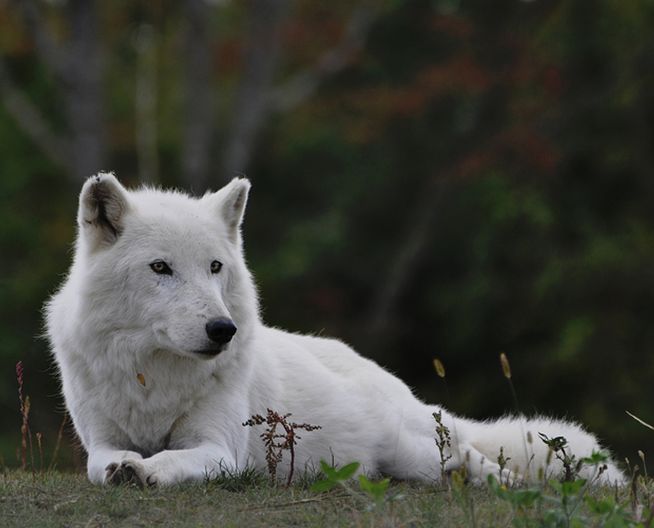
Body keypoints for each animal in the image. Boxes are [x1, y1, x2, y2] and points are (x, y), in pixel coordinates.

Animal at [45, 173, 624, 487]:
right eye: (161, 268)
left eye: (214, 268)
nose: (222, 329)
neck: (154, 379)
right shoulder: (99, 439)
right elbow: (103, 463)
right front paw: (127, 468)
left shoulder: (222, 451)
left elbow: (174, 459)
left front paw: (150, 470)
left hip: (418, 450)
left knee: (483, 464)